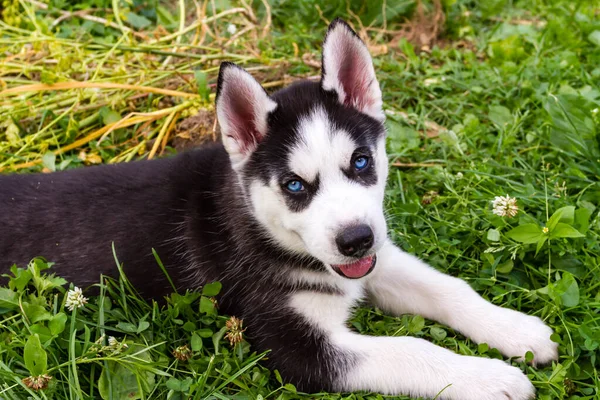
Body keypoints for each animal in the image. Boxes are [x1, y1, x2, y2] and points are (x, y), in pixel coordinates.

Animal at [0, 18, 556, 400]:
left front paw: (516, 330)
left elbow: (445, 287)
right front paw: (489, 377)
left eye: (360, 161)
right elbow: (410, 350)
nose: (355, 240)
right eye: (294, 185)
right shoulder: (294, 346)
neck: (258, 226)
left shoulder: (372, 261)